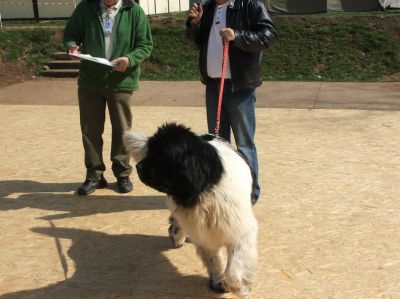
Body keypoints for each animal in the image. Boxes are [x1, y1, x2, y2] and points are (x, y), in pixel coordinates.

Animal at [123, 123, 258, 296]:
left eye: (160, 155)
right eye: (150, 151)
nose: (138, 167)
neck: (205, 189)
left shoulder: (240, 231)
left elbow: (234, 269)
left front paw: (241, 288)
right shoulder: (204, 233)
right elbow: (213, 260)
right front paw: (219, 281)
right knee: (176, 222)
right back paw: (177, 236)